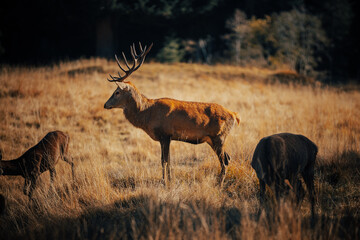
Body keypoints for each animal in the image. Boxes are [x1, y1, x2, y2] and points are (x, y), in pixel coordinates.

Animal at [103, 42, 239, 186]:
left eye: (117, 92)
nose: (105, 104)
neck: (147, 114)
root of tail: (234, 115)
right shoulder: (165, 138)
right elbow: (166, 160)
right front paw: (169, 180)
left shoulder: (165, 134)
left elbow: (164, 160)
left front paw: (165, 182)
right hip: (212, 140)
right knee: (228, 158)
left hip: (219, 136)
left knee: (224, 161)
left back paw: (219, 184)